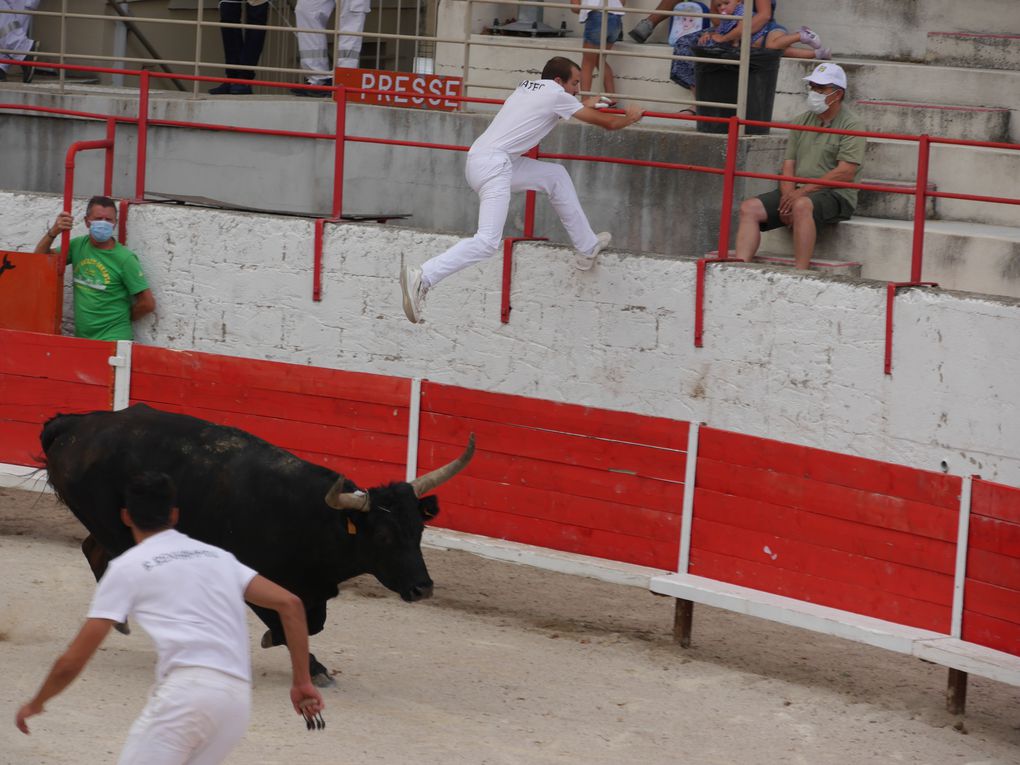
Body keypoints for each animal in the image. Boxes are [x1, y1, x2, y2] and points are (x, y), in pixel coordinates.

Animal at [40, 403, 477, 685]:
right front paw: (304, 661)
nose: (423, 588)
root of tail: (76, 426)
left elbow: (313, 621)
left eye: (418, 531)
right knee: (109, 557)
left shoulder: (312, 589)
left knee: (93, 550)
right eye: (384, 536)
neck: (315, 520)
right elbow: (288, 622)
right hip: (111, 524)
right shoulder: (258, 579)